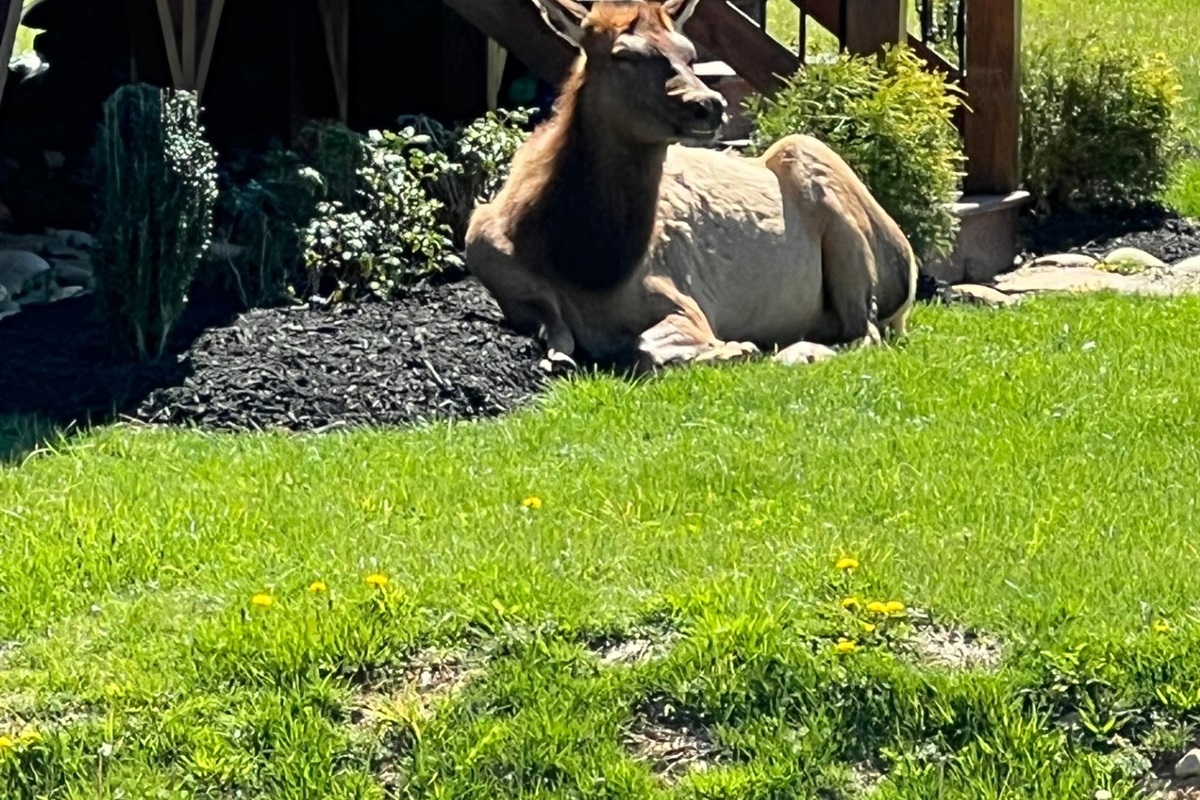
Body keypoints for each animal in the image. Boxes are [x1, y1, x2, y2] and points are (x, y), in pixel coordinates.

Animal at [464, 0, 918, 373]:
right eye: (624, 54)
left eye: (689, 53)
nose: (709, 105)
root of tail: (909, 265)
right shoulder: (505, 282)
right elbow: (558, 337)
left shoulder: (685, 301)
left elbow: (645, 348)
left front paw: (735, 348)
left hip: (821, 178)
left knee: (866, 333)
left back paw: (795, 351)